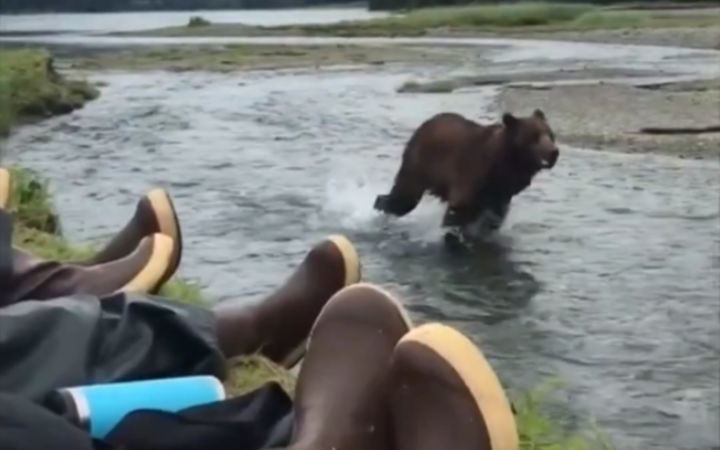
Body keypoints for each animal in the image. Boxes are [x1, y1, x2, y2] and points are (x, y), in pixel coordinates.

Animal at [373, 109, 559, 234]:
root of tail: (425, 124)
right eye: (534, 136)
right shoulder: (472, 175)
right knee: (404, 198)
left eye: (550, 134)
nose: (554, 152)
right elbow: (457, 211)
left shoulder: (500, 192)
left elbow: (495, 216)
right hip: (419, 165)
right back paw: (380, 208)